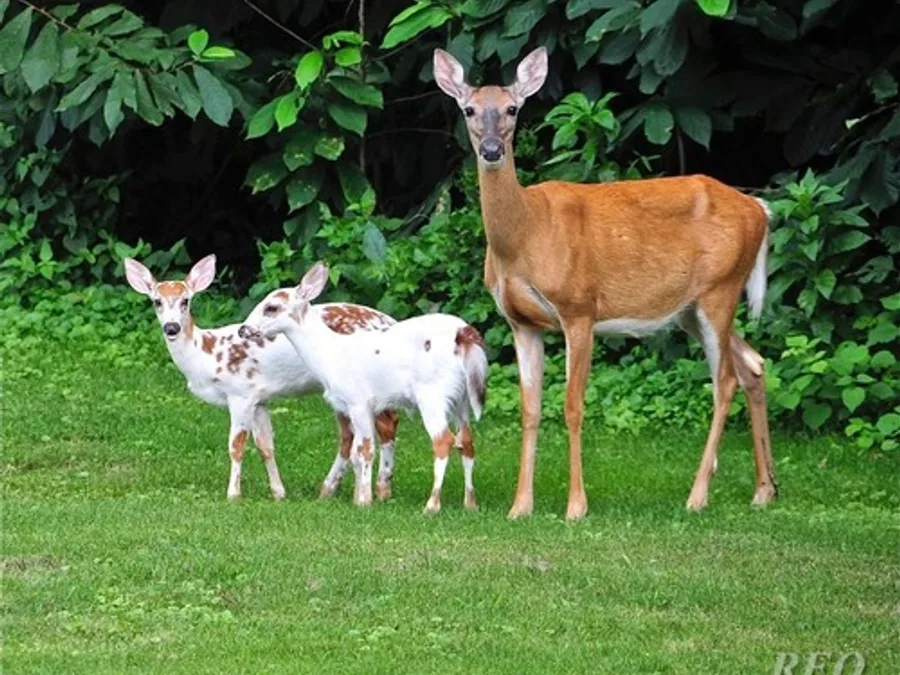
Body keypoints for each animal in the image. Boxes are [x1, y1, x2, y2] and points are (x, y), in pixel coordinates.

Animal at [124, 254, 402, 502]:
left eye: (185, 301)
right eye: (156, 301)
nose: (171, 327)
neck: (206, 354)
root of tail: (390, 320)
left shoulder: (240, 392)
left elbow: (236, 446)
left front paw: (233, 495)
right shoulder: (259, 398)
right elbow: (265, 446)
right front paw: (279, 493)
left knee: (383, 426)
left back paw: (378, 490)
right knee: (355, 435)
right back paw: (336, 491)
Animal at [238, 262, 488, 514]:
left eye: (271, 307)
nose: (243, 329)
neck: (328, 356)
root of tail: (463, 335)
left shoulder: (358, 400)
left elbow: (364, 450)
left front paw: (364, 502)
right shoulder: (354, 406)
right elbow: (356, 452)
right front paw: (359, 497)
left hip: (432, 394)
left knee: (444, 441)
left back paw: (432, 506)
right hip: (462, 398)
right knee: (467, 441)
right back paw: (471, 503)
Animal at [433, 47, 778, 521]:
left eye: (512, 108)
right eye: (468, 109)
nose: (490, 149)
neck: (525, 235)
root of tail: (760, 210)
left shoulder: (580, 307)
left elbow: (573, 406)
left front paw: (576, 506)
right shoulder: (522, 322)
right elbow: (530, 409)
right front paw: (521, 506)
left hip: (719, 290)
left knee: (724, 380)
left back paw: (698, 495)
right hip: (688, 309)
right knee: (753, 365)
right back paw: (764, 491)